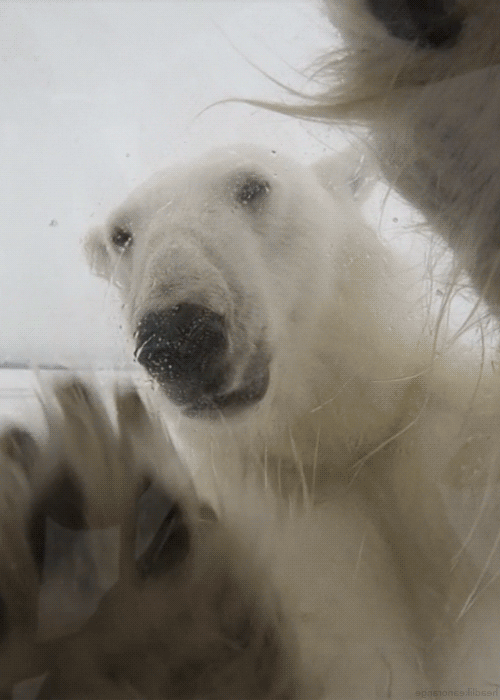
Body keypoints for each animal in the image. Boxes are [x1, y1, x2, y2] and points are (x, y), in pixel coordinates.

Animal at [83, 143, 500, 695]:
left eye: (252, 187)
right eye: (121, 234)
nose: (179, 338)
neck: (336, 439)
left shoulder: (433, 443)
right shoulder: (279, 509)